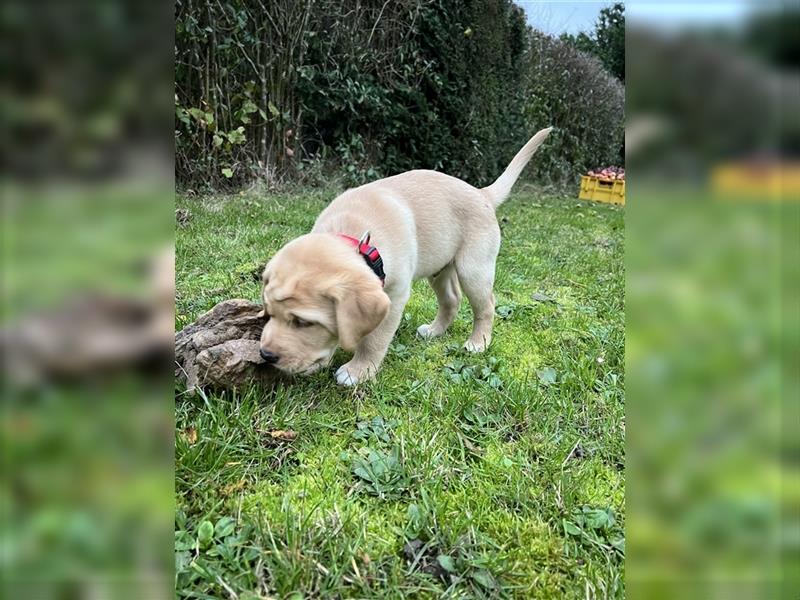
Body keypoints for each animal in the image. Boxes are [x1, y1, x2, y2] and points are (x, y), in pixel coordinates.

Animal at [260, 128, 552, 386]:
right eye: (269, 313)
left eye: (304, 322)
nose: (266, 355)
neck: (356, 237)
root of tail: (481, 193)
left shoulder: (394, 295)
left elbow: (374, 338)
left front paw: (358, 371)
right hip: (440, 268)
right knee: (451, 299)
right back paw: (435, 331)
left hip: (474, 268)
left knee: (487, 305)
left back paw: (477, 342)